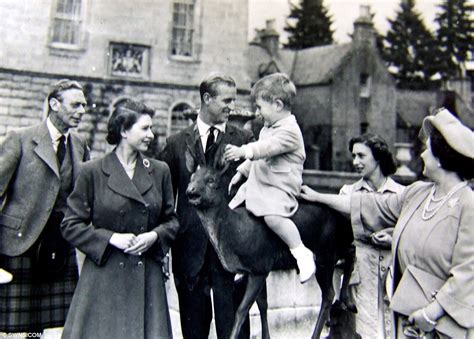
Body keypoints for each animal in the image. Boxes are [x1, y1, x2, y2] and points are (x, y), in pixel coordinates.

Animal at [185, 147, 356, 339]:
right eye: (192, 177)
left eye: (211, 180)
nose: (191, 191)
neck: (235, 236)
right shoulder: (259, 268)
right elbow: (263, 305)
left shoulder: (259, 265)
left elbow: (242, 310)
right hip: (335, 246)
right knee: (351, 252)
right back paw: (347, 302)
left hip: (324, 252)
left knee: (328, 294)